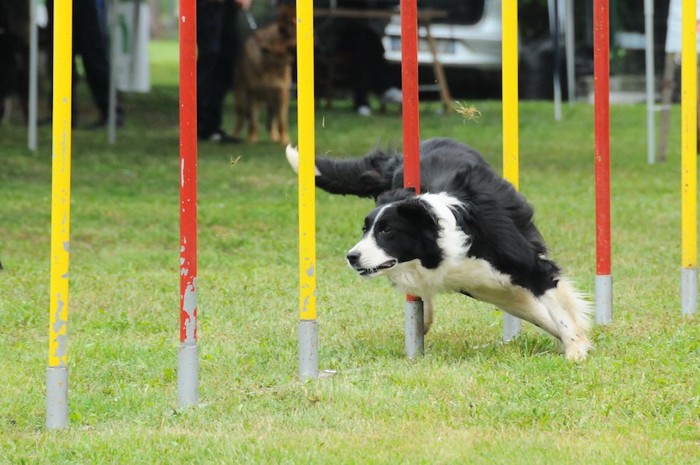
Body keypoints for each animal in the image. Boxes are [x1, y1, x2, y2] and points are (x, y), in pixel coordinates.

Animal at [232, 5, 292, 143]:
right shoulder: (253, 93)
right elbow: (253, 121)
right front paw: (252, 139)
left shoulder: (282, 94)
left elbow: (282, 121)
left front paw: (284, 140)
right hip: (241, 99)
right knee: (241, 119)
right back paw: (234, 137)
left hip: (273, 101)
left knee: (272, 120)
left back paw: (275, 137)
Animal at [284, 136, 592, 360]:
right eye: (365, 229)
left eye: (386, 230)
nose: (352, 257)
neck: (442, 244)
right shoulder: (481, 284)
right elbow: (541, 313)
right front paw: (577, 342)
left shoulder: (528, 267)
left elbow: (556, 309)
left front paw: (575, 348)